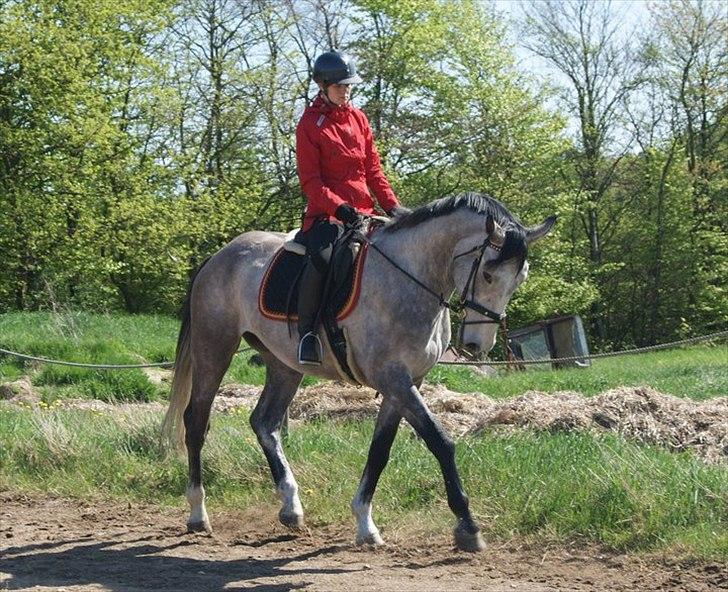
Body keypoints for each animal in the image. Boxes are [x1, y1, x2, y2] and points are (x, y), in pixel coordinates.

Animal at [164, 192, 552, 552]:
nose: (475, 345)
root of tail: (220, 256)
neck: (409, 278)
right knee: (196, 421)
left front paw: (365, 524)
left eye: (519, 279)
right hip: (215, 347)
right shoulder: (394, 378)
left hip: (283, 364)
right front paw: (468, 526)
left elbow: (379, 451)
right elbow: (440, 441)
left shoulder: (404, 384)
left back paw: (291, 507)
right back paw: (198, 513)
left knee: (264, 422)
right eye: (487, 273)